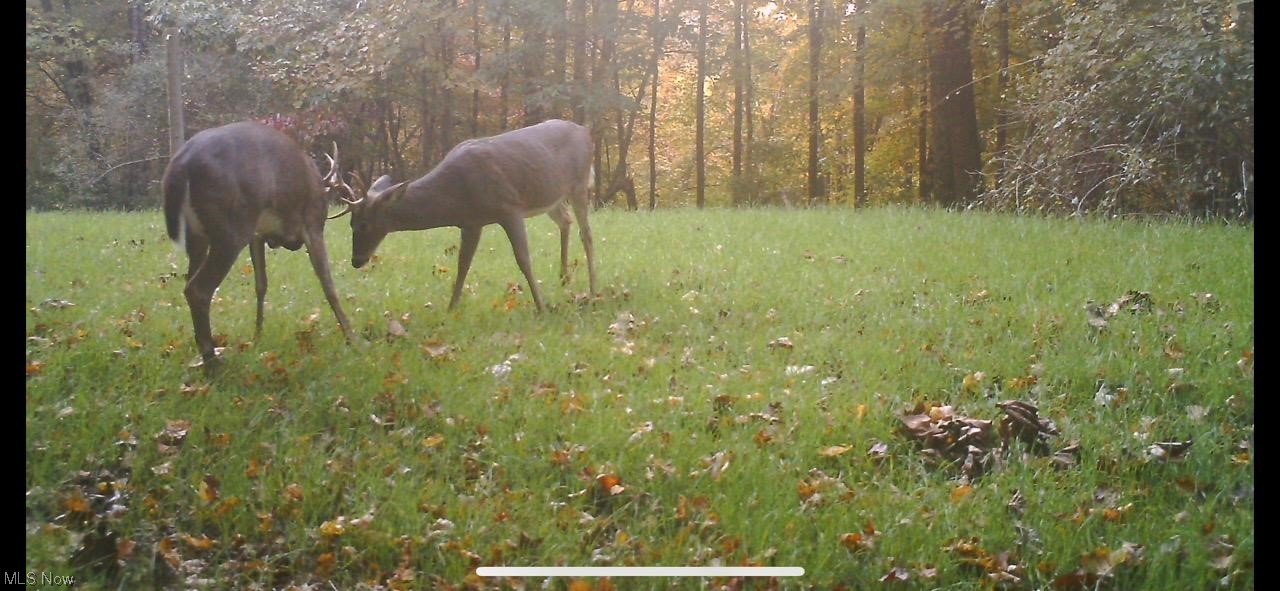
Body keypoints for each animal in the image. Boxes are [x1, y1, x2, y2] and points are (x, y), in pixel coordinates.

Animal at [163, 121, 360, 365]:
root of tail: (181, 164)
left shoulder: (257, 235)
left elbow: (261, 285)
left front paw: (257, 337)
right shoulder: (313, 223)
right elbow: (328, 285)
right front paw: (352, 339)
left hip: (197, 235)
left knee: (190, 279)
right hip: (231, 228)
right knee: (197, 289)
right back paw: (213, 362)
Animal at [325, 118, 593, 312]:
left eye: (363, 224)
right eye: (350, 223)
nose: (356, 260)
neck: (456, 194)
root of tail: (584, 130)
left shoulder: (509, 207)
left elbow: (523, 259)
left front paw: (541, 307)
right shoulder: (471, 222)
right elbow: (463, 264)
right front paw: (451, 308)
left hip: (579, 184)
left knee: (587, 234)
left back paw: (593, 288)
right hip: (551, 197)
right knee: (566, 220)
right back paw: (564, 278)